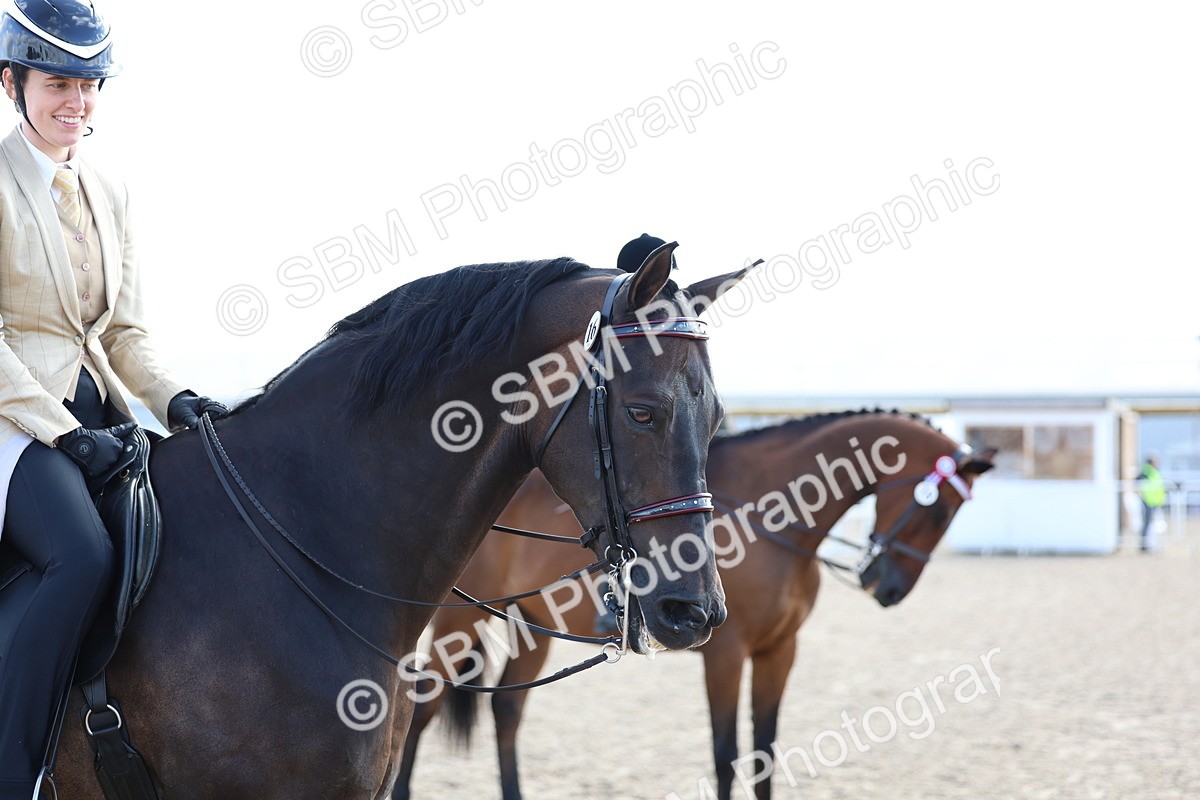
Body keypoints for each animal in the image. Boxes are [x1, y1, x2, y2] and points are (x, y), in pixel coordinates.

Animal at [394, 410, 996, 800]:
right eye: (938, 510)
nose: (887, 589)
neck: (769, 515)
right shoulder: (725, 654)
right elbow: (726, 754)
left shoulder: (780, 650)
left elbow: (765, 749)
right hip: (459, 619)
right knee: (422, 706)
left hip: (536, 628)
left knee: (507, 710)